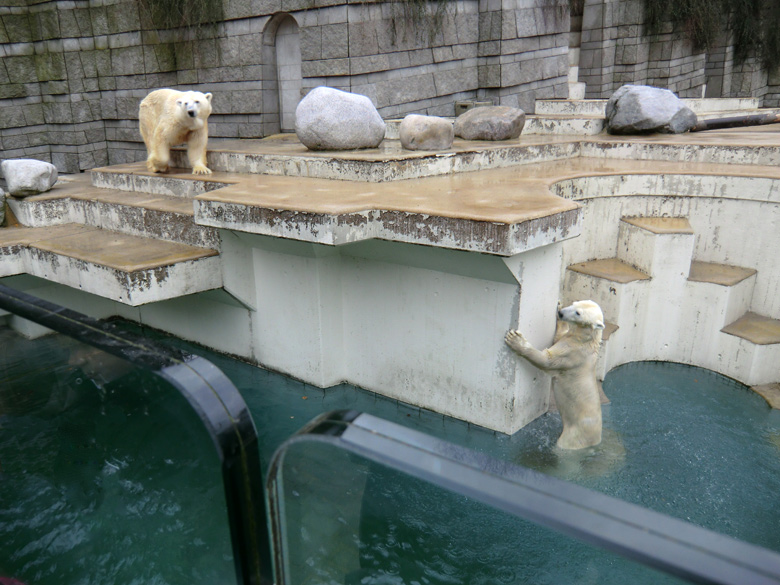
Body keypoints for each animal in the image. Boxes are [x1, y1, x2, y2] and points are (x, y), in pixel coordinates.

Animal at [502, 298, 608, 450]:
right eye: (574, 304)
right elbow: (559, 336)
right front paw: (558, 307)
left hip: (575, 435)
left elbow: (548, 359)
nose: (561, 313)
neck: (586, 340)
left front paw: (516, 340)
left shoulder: (573, 353)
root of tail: (596, 440)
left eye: (578, 313)